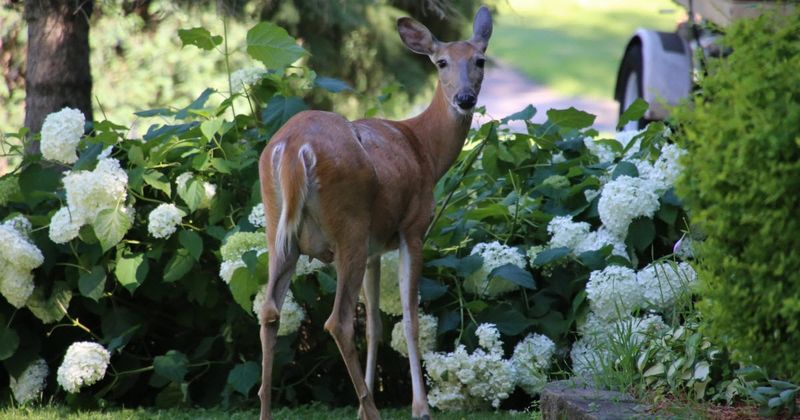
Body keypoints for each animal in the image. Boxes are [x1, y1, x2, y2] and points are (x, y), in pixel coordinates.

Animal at [257, 6, 492, 420]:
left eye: (479, 60)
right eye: (441, 62)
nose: (464, 98)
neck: (425, 150)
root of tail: (293, 149)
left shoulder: (374, 248)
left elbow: (376, 324)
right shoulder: (412, 229)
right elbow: (410, 318)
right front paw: (420, 407)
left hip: (279, 229)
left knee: (269, 311)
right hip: (348, 223)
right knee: (338, 322)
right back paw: (374, 411)